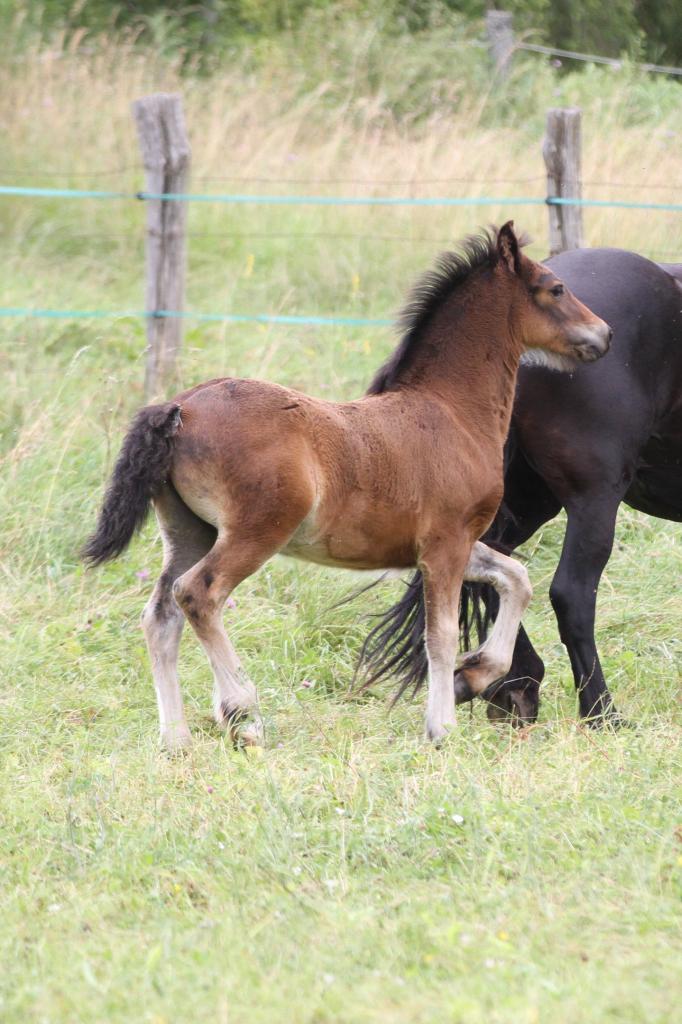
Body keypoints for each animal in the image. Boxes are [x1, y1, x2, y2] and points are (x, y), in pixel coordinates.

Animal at [82, 224, 606, 749]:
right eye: (556, 288)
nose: (604, 334)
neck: (450, 411)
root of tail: (180, 408)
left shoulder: (449, 543)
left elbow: (516, 580)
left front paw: (472, 676)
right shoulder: (445, 544)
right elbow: (439, 636)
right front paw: (441, 726)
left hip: (189, 531)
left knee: (161, 616)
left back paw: (176, 740)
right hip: (255, 531)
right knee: (197, 594)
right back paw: (240, 710)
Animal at [358, 245, 675, 729]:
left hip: (527, 498)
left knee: (493, 569)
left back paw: (506, 684)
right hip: (593, 497)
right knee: (571, 594)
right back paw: (600, 712)